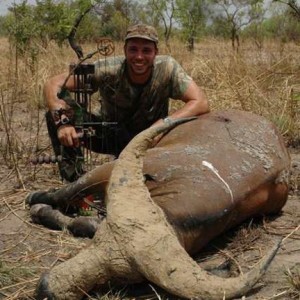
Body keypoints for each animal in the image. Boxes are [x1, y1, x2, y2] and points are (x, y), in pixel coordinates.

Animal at [27, 110, 290, 300]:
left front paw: (42, 210)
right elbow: (69, 193)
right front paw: (37, 201)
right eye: (93, 246)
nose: (46, 290)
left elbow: (83, 221)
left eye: (118, 278)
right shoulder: (105, 171)